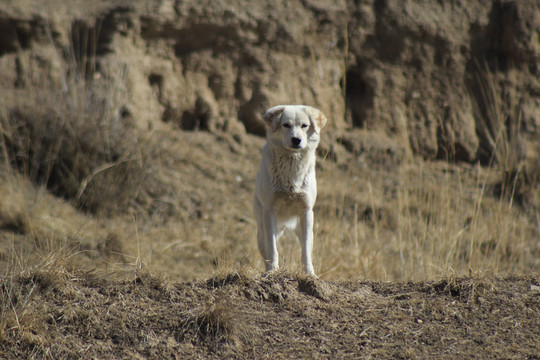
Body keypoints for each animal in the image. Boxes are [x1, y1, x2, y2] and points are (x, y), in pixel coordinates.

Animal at [254, 105, 326, 274]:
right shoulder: (269, 211)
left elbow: (306, 250)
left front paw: (310, 274)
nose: (296, 140)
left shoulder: (306, 212)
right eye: (286, 125)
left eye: (304, 125)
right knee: (266, 249)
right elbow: (272, 249)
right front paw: (272, 271)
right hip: (261, 231)